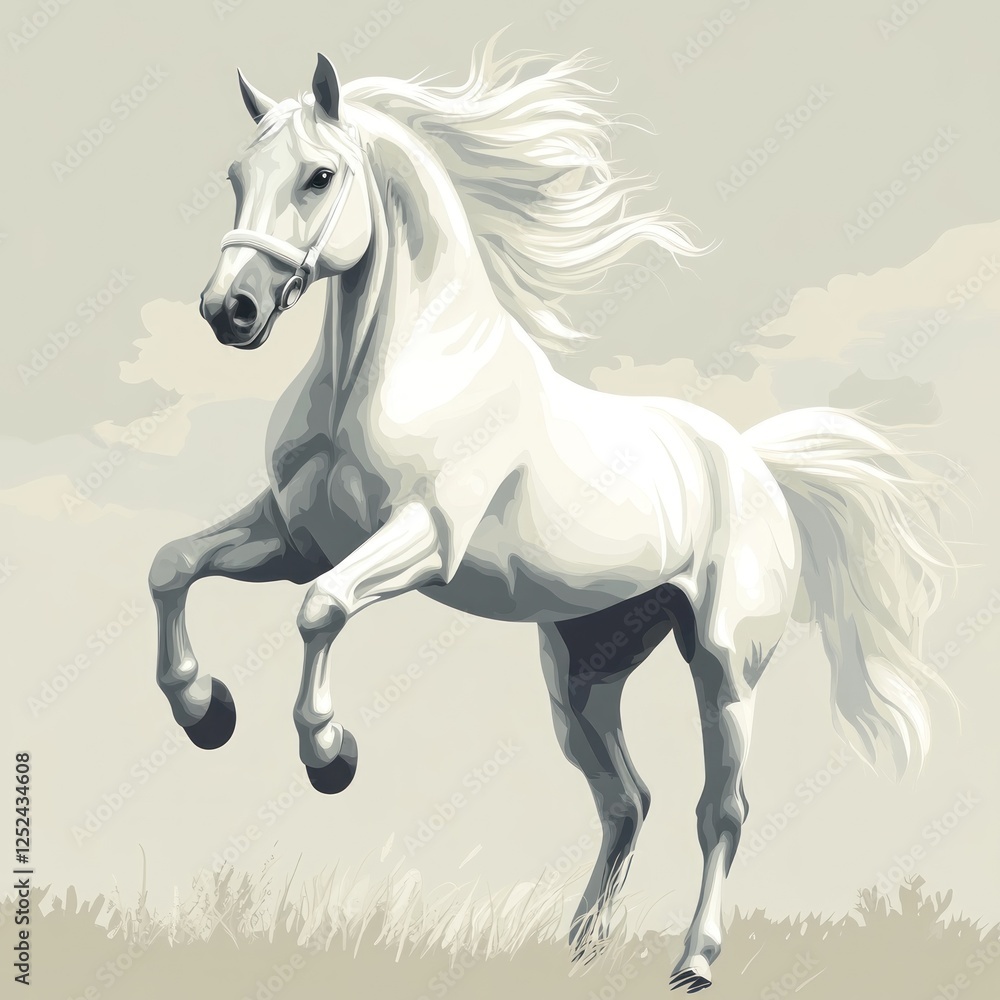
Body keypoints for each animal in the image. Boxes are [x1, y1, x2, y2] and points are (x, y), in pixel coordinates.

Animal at [149, 44, 956, 992]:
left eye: (319, 176)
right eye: (236, 176)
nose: (228, 311)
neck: (385, 374)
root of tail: (754, 461)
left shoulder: (420, 540)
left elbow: (321, 610)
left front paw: (329, 754)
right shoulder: (293, 538)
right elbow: (172, 565)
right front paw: (203, 710)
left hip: (723, 667)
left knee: (720, 809)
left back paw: (694, 961)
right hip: (583, 674)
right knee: (626, 802)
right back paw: (580, 945)